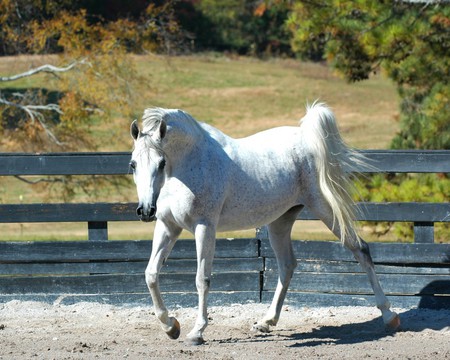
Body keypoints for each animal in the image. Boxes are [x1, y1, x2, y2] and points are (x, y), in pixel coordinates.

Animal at [130, 102, 400, 344]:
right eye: (133, 164)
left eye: (161, 163)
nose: (145, 210)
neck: (189, 164)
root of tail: (307, 139)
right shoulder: (168, 226)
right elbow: (151, 274)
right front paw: (170, 326)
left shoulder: (204, 227)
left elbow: (201, 279)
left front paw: (196, 332)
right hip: (280, 222)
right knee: (287, 266)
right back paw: (266, 322)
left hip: (325, 209)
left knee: (360, 249)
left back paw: (389, 315)